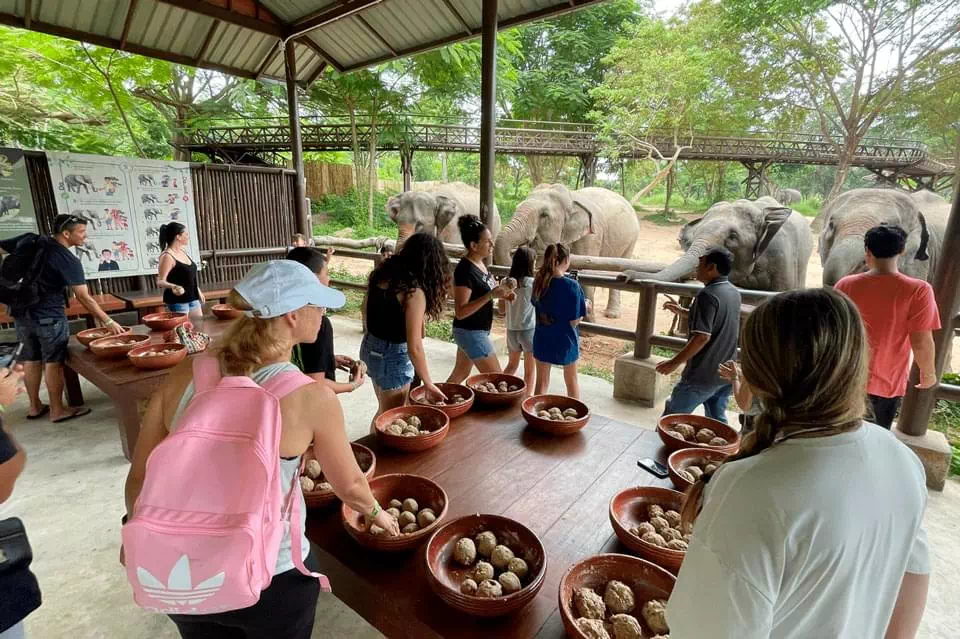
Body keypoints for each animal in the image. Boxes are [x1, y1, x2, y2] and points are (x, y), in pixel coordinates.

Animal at [496, 184, 636, 318]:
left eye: (544, 215)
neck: (570, 197)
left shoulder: (591, 237)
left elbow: (585, 269)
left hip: (631, 241)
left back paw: (612, 314)